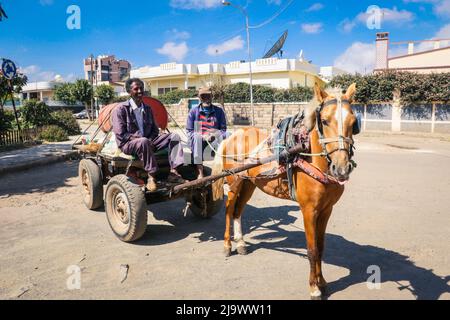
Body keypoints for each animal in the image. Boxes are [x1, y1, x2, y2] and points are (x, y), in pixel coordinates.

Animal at [211, 82, 358, 300]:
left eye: (354, 122)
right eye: (324, 121)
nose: (341, 168)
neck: (310, 157)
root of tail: (234, 134)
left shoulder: (326, 210)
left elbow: (321, 247)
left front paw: (322, 282)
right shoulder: (308, 210)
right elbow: (312, 250)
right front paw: (314, 287)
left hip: (249, 184)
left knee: (238, 211)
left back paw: (241, 243)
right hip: (235, 181)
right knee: (229, 210)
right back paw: (228, 245)